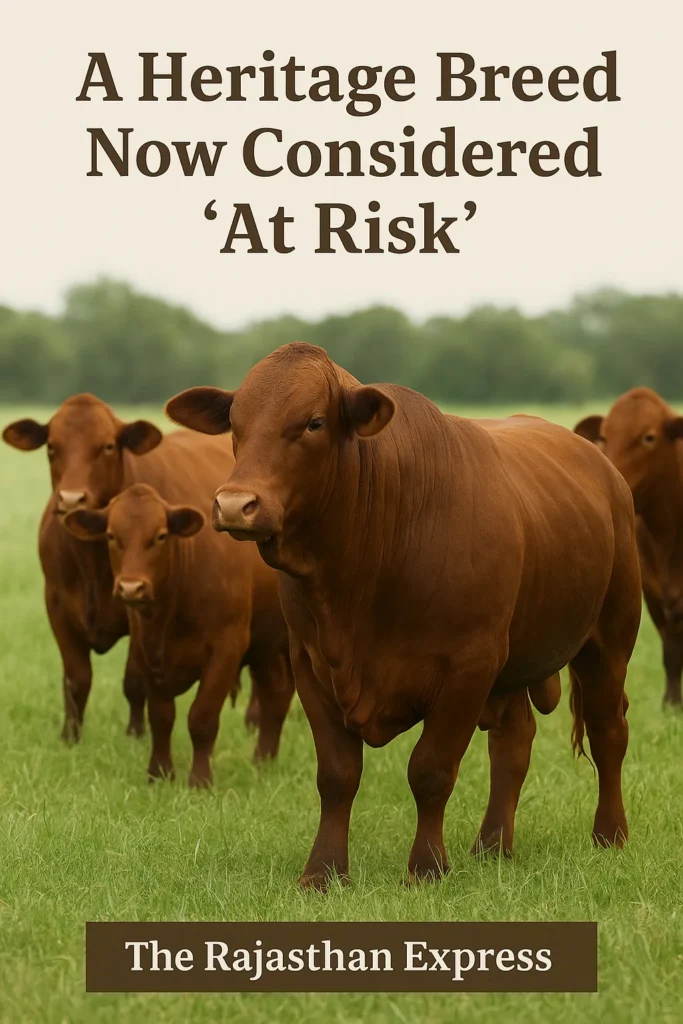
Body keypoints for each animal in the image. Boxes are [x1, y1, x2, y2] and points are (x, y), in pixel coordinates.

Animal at [1, 395, 259, 741]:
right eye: (51, 446)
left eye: (108, 446)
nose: (71, 499)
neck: (91, 558)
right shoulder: (57, 606)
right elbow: (75, 679)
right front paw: (70, 736)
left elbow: (133, 682)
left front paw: (136, 733)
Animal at [63, 483, 294, 784]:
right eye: (111, 536)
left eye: (161, 536)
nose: (131, 587)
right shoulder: (146, 649)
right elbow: (161, 717)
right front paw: (159, 773)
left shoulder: (226, 650)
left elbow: (202, 717)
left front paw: (200, 780)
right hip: (267, 647)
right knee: (277, 694)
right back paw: (263, 761)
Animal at [166, 342, 641, 889]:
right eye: (235, 423)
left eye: (313, 423)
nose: (234, 505)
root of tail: (604, 467)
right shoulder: (310, 662)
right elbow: (337, 775)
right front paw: (323, 872)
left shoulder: (468, 666)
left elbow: (430, 771)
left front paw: (427, 867)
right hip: (514, 664)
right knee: (514, 741)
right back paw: (493, 846)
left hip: (608, 641)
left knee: (608, 732)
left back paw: (609, 835)